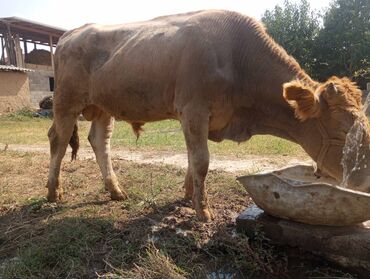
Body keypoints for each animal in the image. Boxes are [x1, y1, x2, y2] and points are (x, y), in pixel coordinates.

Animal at [47, 9, 370, 222]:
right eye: (344, 132)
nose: (365, 180)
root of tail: (71, 33)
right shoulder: (194, 109)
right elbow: (202, 161)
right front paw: (203, 211)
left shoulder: (195, 117)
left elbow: (192, 159)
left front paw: (189, 196)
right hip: (66, 101)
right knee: (58, 140)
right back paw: (53, 193)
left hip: (103, 106)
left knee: (99, 142)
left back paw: (115, 190)